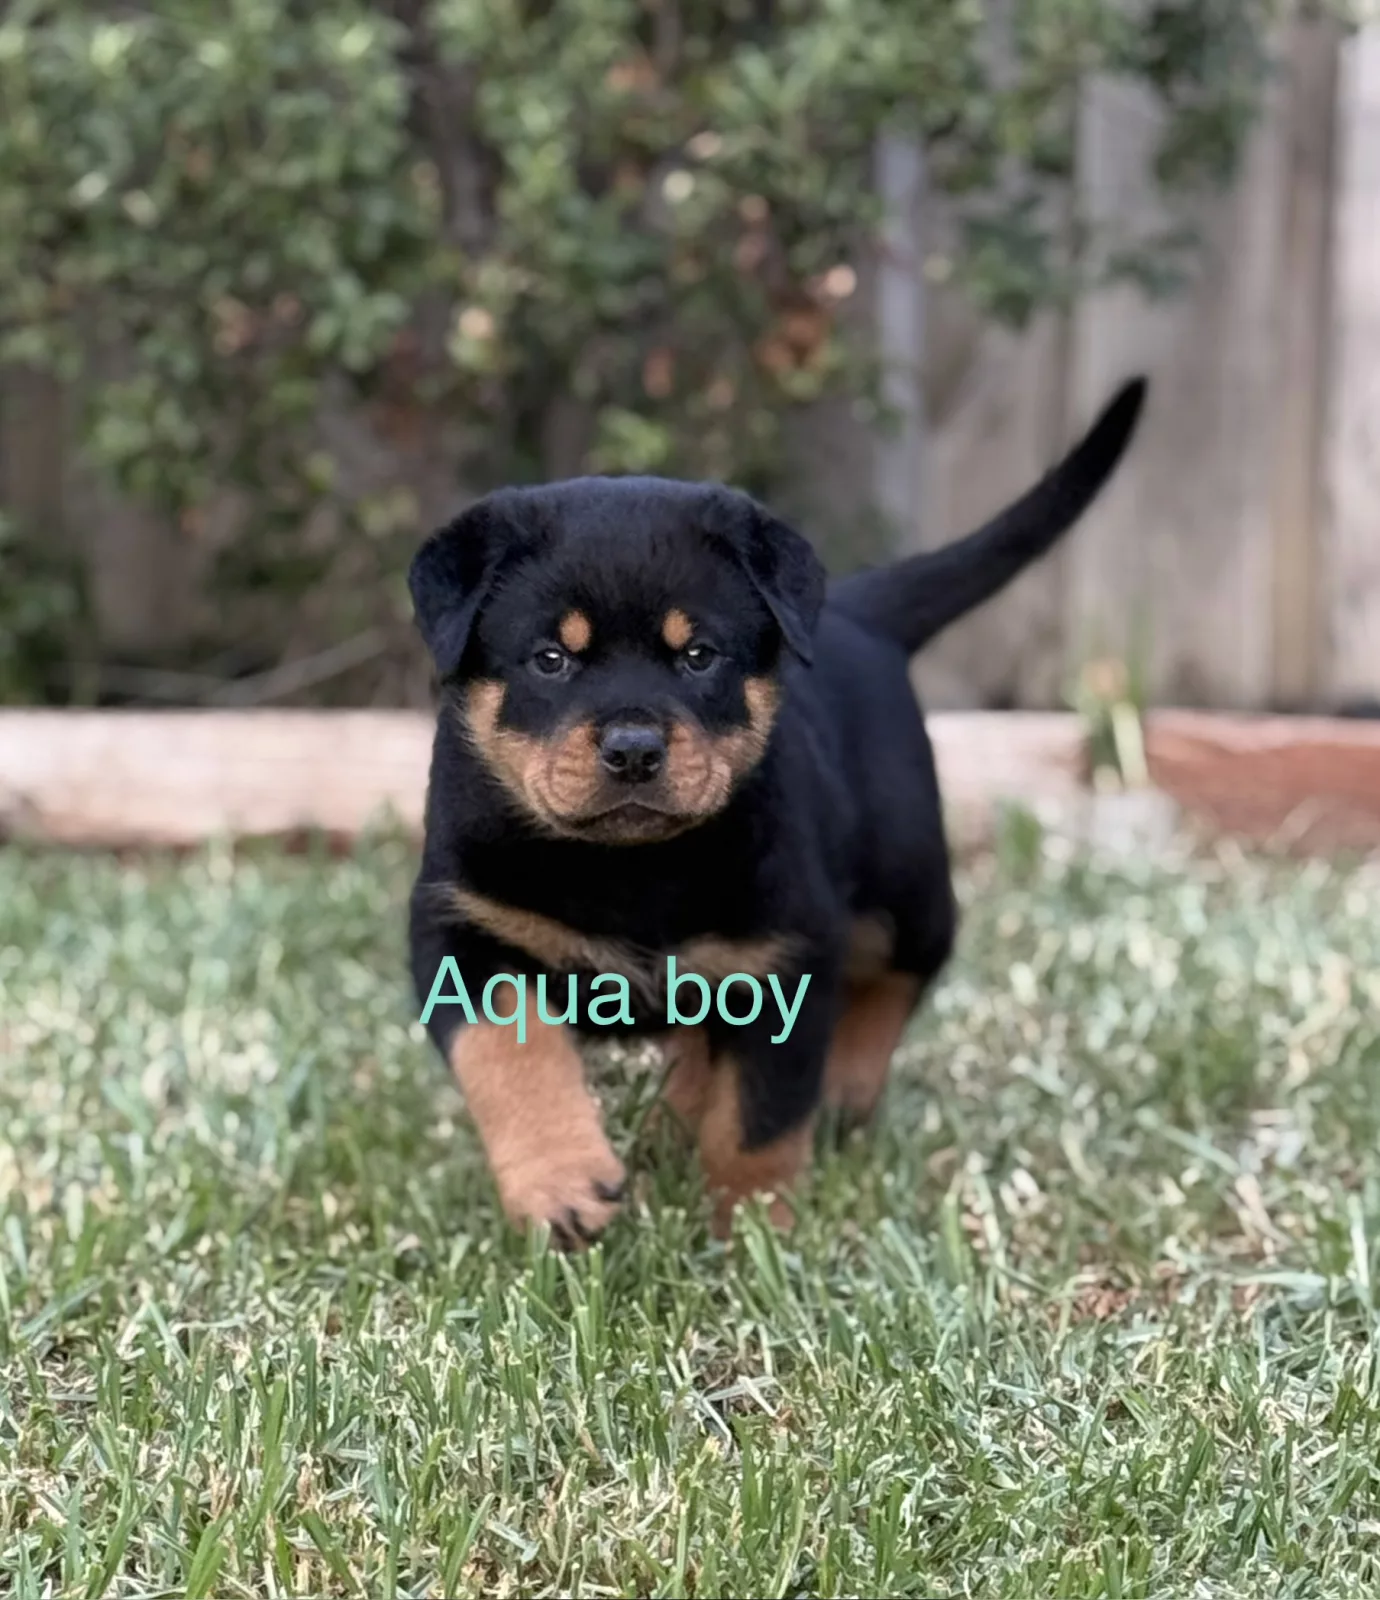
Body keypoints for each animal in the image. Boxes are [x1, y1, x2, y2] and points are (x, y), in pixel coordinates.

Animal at [407, 378, 1147, 1243]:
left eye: (699, 656)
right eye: (550, 659)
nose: (633, 749)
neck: (629, 867)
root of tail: (859, 612)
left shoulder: (785, 952)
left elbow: (759, 1116)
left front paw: (756, 1229)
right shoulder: (463, 926)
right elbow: (509, 1053)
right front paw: (561, 1184)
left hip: (903, 878)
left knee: (906, 962)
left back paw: (843, 1089)